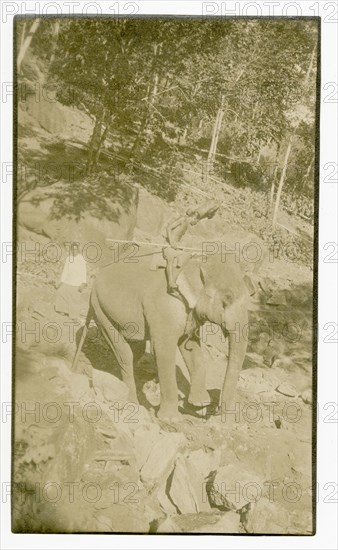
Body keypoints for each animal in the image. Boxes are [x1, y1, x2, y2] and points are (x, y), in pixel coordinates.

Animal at [72, 246, 250, 422]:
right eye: (228, 297)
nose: (217, 411)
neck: (193, 261)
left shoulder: (188, 314)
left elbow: (191, 348)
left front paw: (199, 403)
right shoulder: (164, 306)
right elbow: (163, 351)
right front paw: (171, 419)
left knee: (136, 350)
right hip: (100, 308)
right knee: (125, 354)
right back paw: (131, 402)